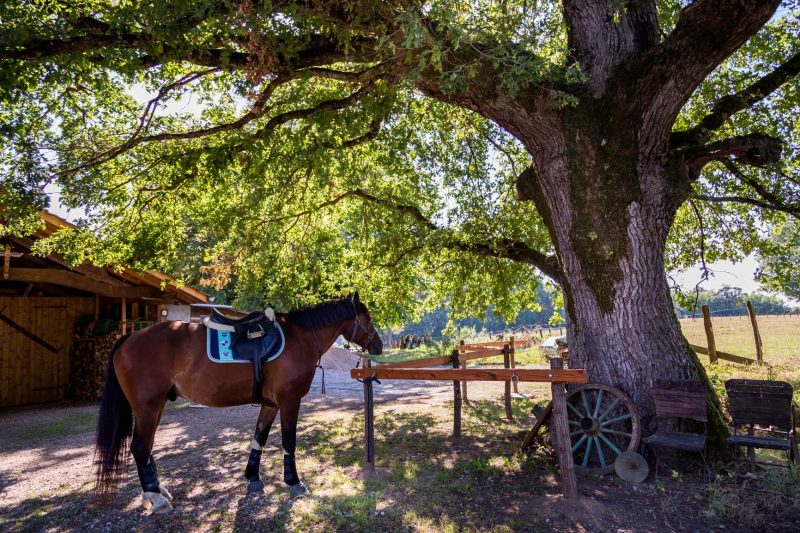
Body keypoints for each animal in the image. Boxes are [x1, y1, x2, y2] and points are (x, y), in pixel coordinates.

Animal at [94, 294, 382, 512]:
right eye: (367, 319)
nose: (378, 345)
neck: (300, 337)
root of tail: (129, 338)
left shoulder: (271, 404)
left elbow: (259, 438)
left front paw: (253, 477)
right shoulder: (289, 401)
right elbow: (289, 442)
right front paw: (294, 482)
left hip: (157, 406)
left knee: (147, 446)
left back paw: (157, 491)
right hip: (147, 407)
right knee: (140, 447)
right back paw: (155, 498)